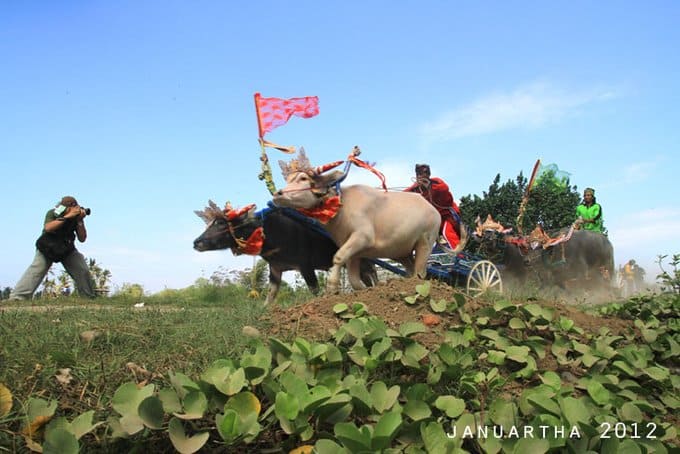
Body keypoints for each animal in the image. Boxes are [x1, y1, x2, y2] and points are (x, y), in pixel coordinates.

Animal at [193, 200, 378, 304]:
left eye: (221, 224)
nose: (197, 242)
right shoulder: (275, 269)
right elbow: (271, 294)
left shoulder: (305, 266)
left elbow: (314, 290)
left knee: (372, 273)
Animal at [270, 168, 440, 292]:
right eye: (289, 179)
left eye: (303, 178)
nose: (277, 194)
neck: (341, 207)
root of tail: (433, 210)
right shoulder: (354, 251)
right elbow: (353, 279)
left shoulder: (363, 236)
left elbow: (338, 258)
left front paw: (332, 286)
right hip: (402, 253)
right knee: (411, 270)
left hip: (425, 243)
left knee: (420, 272)